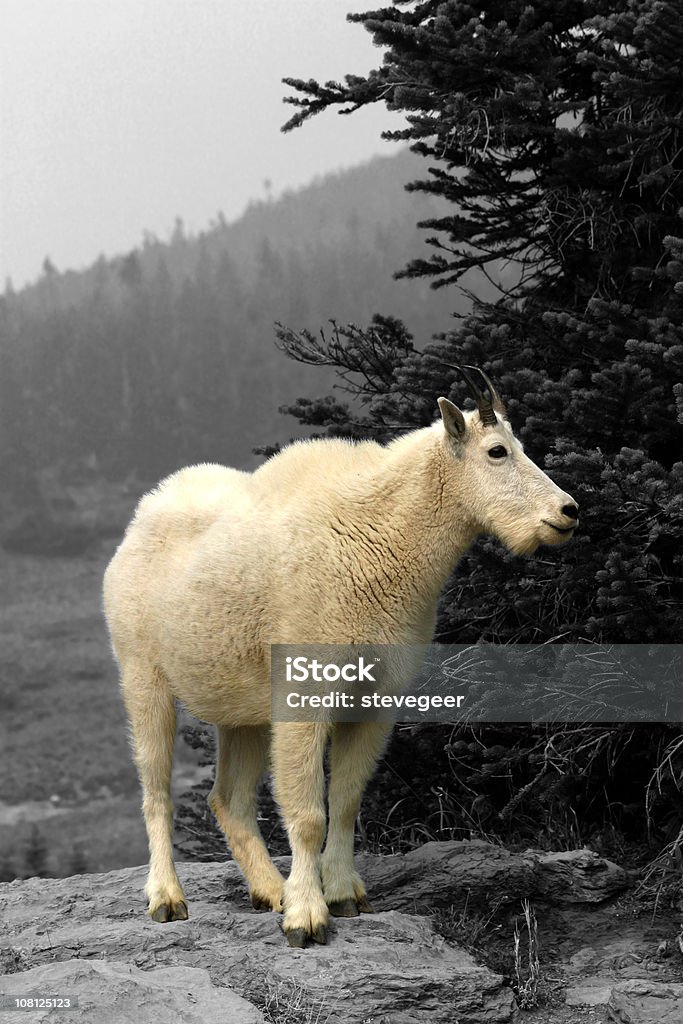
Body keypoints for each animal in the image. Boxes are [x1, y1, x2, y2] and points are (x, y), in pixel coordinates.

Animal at [104, 366, 581, 942]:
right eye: (496, 451)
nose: (568, 512)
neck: (383, 535)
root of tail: (136, 525)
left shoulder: (374, 697)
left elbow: (348, 799)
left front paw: (344, 895)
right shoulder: (305, 691)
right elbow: (308, 811)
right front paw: (307, 918)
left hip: (242, 710)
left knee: (229, 799)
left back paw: (270, 891)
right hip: (143, 675)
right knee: (156, 790)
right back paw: (168, 898)